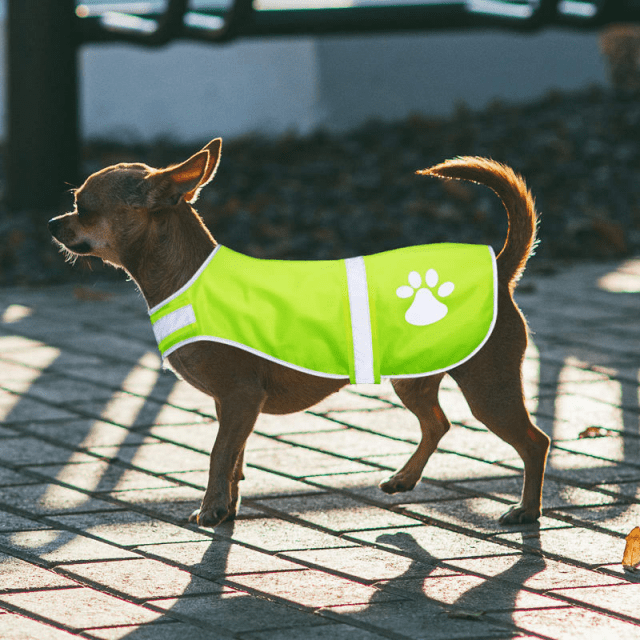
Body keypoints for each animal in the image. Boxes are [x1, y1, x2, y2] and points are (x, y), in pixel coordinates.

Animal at [50, 138, 552, 528]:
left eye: (83, 208)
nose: (52, 223)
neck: (184, 276)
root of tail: (498, 267)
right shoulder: (232, 406)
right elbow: (234, 458)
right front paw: (227, 507)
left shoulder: (239, 398)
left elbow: (218, 454)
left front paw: (210, 509)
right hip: (414, 382)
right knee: (437, 422)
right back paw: (405, 478)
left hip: (488, 390)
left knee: (534, 441)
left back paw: (526, 511)